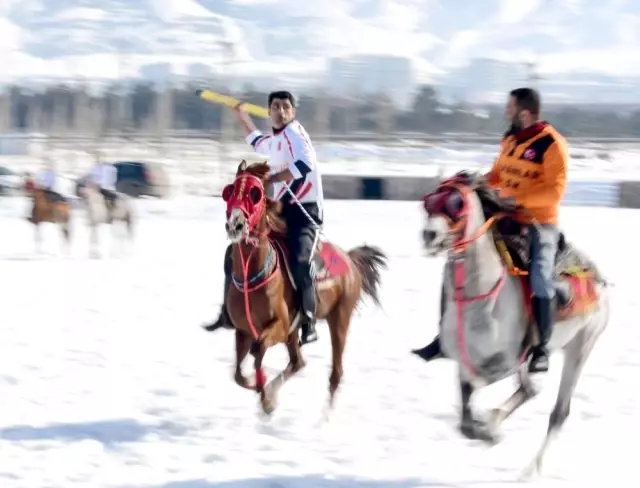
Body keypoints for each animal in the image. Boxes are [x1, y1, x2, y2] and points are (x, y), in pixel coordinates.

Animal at [222, 160, 388, 416]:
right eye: (230, 191)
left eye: (255, 193)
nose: (236, 225)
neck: (253, 274)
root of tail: (349, 260)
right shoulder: (243, 331)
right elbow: (238, 374)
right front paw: (261, 389)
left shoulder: (280, 326)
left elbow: (258, 350)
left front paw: (266, 397)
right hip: (296, 333)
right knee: (298, 362)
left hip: (339, 319)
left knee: (335, 373)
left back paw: (323, 419)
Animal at [420, 171, 608, 476]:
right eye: (429, 201)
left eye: (456, 203)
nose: (429, 235)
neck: (479, 298)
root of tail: (599, 279)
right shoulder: (465, 362)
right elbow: (465, 415)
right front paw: (485, 429)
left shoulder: (506, 360)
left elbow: (477, 391)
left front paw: (487, 430)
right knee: (530, 390)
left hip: (581, 347)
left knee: (559, 412)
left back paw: (529, 471)